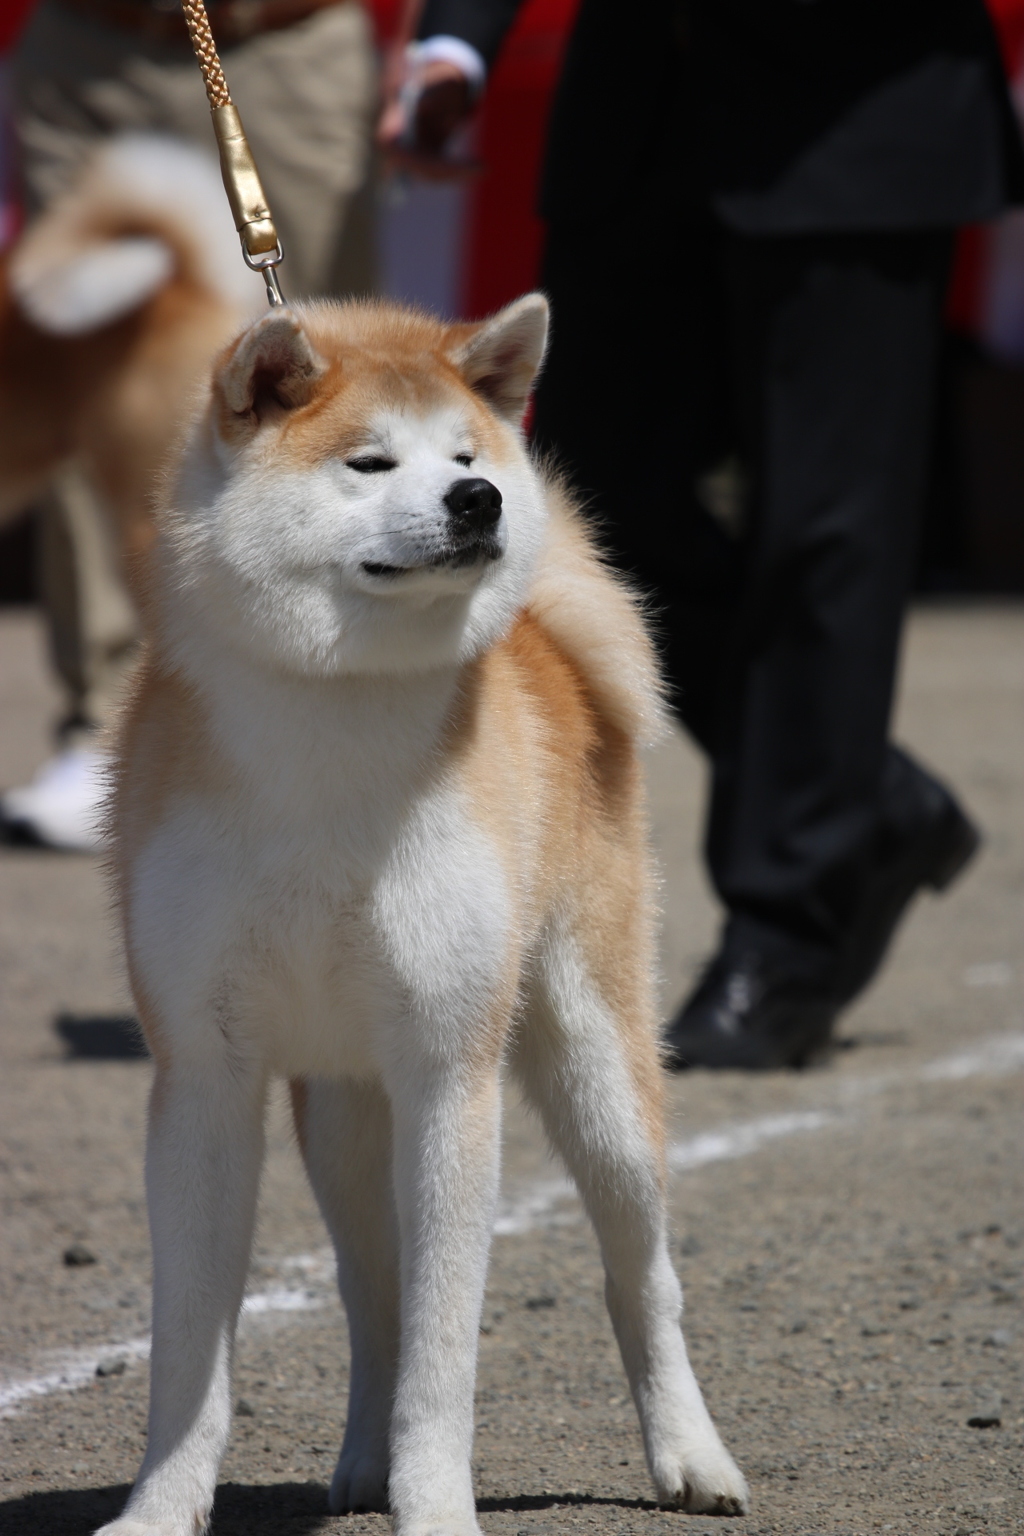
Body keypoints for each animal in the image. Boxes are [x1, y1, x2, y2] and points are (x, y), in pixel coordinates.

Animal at [104, 296, 749, 1536]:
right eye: (368, 462)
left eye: (463, 458)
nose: (480, 500)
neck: (331, 728)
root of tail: (551, 650)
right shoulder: (203, 1076)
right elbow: (189, 1355)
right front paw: (160, 1508)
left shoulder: (451, 1070)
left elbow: (445, 1355)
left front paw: (437, 1506)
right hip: (345, 1120)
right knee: (371, 1294)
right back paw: (360, 1462)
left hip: (594, 1070)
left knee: (641, 1278)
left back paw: (692, 1456)